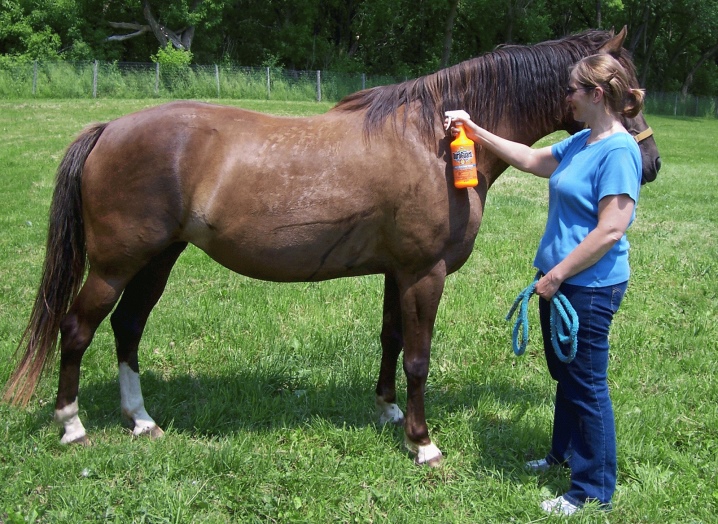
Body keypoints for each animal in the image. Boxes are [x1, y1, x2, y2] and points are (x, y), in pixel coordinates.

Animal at [2, 26, 660, 464]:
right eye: (628, 95)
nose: (649, 165)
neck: (430, 140)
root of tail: (110, 128)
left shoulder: (399, 272)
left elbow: (392, 340)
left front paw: (389, 411)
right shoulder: (425, 273)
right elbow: (419, 358)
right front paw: (422, 443)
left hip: (156, 260)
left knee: (127, 328)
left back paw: (140, 421)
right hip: (115, 265)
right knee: (77, 330)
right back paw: (72, 426)